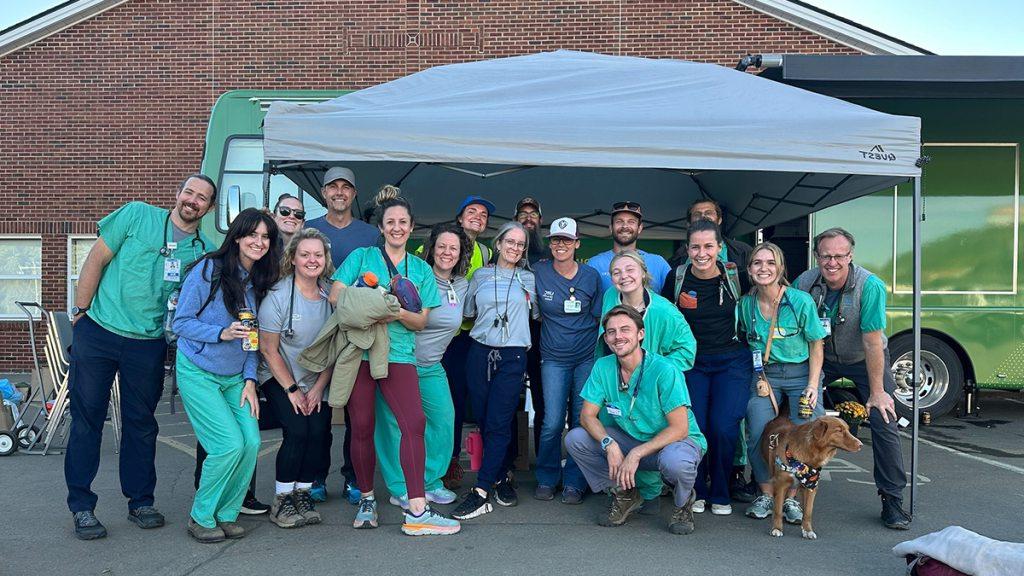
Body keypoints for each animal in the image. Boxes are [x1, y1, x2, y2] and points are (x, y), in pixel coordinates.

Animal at [761, 407, 864, 537]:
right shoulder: (781, 484)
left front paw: (808, 530)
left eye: (848, 430)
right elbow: (778, 510)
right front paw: (777, 528)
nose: (861, 445)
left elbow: (808, 512)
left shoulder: (811, 487)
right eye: (839, 431)